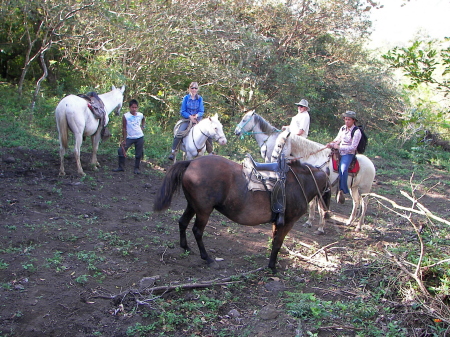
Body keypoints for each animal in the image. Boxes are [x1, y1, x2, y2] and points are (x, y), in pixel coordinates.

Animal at [153, 156, 328, 272]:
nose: (326, 210)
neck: (299, 182)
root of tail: (192, 162)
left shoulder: (277, 222)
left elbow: (274, 240)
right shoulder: (288, 223)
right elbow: (278, 243)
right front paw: (272, 267)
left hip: (192, 206)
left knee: (182, 222)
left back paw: (186, 247)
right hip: (203, 210)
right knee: (197, 231)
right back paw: (207, 258)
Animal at [236, 110, 376, 231]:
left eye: (244, 119)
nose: (236, 131)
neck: (313, 157)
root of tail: (371, 165)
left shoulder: (322, 187)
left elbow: (320, 206)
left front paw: (320, 227)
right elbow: (313, 204)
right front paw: (309, 221)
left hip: (365, 189)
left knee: (365, 204)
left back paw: (359, 226)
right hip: (354, 187)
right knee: (356, 202)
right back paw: (350, 221)